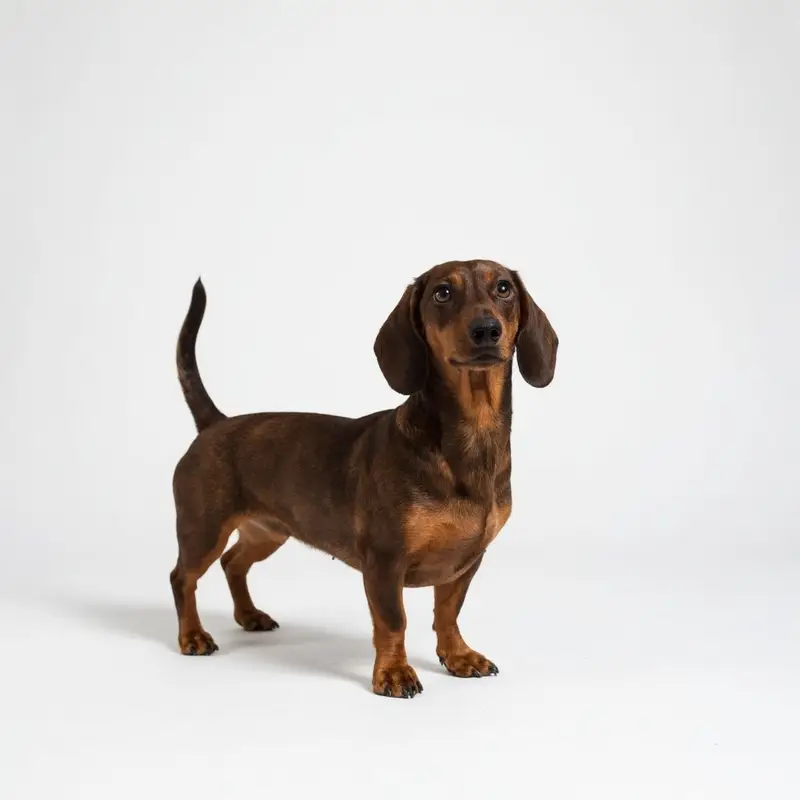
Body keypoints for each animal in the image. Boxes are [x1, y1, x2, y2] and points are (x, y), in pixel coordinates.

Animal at [170, 259, 558, 698]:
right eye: (442, 293)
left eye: (504, 288)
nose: (486, 329)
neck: (471, 439)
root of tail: (214, 424)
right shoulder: (385, 561)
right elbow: (393, 621)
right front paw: (394, 673)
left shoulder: (467, 562)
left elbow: (448, 612)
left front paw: (458, 656)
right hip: (204, 530)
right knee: (182, 577)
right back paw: (192, 636)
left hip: (267, 532)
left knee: (233, 563)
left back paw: (249, 615)